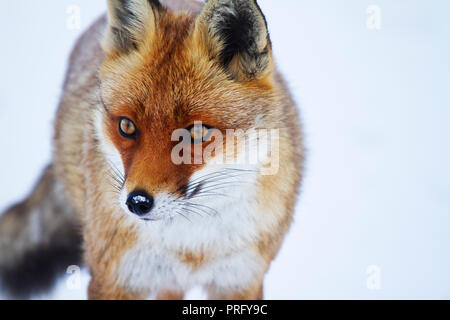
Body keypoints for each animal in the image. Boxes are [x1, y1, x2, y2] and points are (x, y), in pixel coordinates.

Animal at [0, 0, 304, 300]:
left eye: (196, 132)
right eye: (126, 126)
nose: (137, 202)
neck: (190, 249)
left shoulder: (241, 282)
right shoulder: (115, 280)